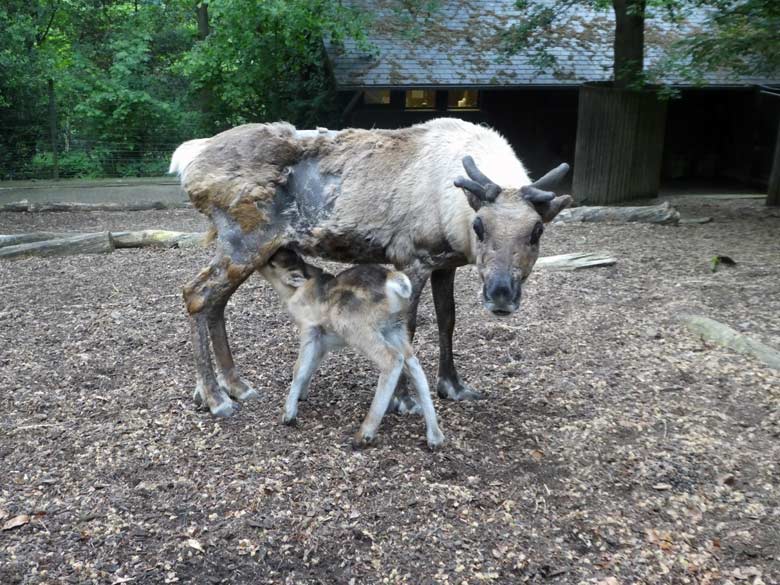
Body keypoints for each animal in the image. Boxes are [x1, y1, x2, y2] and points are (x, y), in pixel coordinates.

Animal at [262, 249, 444, 450]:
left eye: (272, 263)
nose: (265, 258)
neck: (293, 295)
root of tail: (394, 282)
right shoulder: (324, 342)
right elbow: (312, 365)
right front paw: (302, 396)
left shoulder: (309, 329)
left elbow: (299, 368)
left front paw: (288, 415)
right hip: (394, 329)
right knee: (413, 363)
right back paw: (435, 437)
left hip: (355, 326)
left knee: (392, 359)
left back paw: (364, 434)